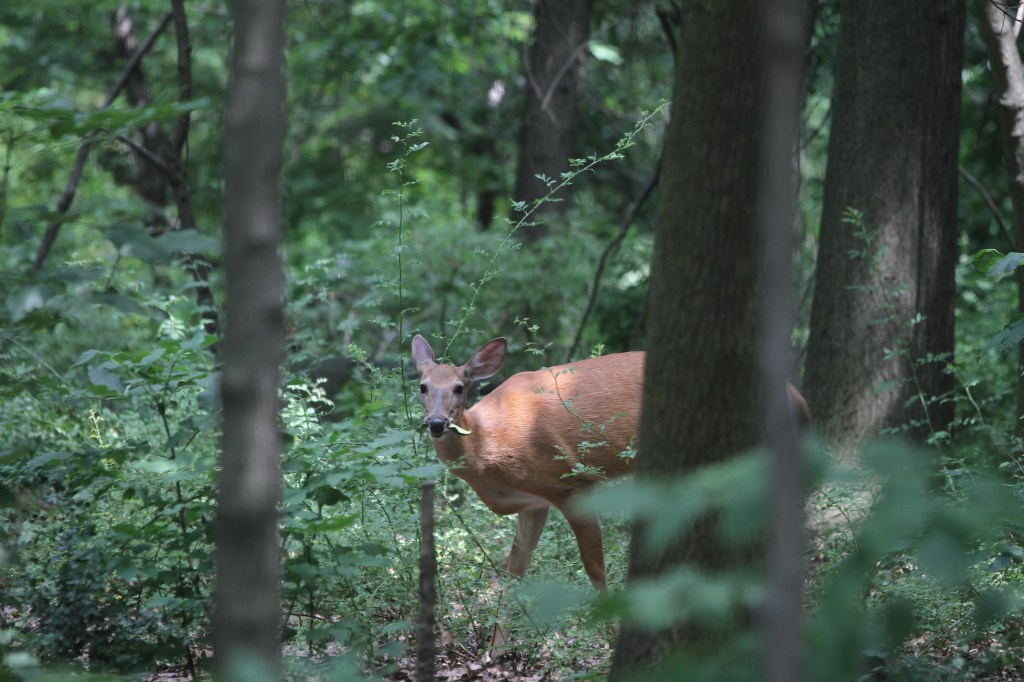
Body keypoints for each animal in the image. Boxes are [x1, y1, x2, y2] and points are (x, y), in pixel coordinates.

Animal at [407, 333, 806, 647]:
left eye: (460, 387)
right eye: (422, 386)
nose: (437, 423)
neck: (487, 445)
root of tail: (799, 398)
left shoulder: (572, 486)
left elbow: (595, 569)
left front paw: (613, 638)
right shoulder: (534, 503)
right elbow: (514, 571)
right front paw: (495, 652)